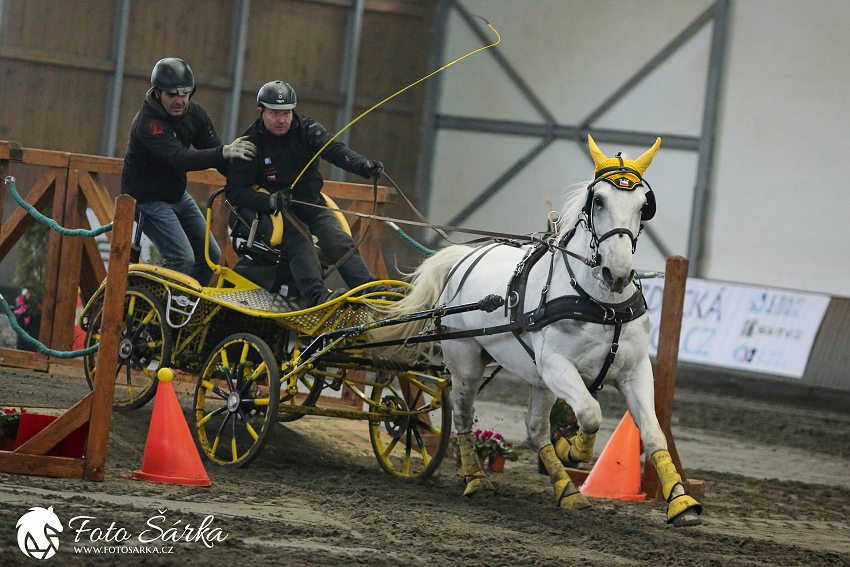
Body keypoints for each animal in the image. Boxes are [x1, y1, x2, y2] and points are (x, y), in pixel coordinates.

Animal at [374, 136, 700, 528]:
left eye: (643, 206)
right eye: (599, 200)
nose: (617, 274)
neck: (601, 304)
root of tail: (464, 257)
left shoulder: (635, 371)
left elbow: (652, 432)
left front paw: (681, 502)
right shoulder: (556, 365)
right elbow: (590, 413)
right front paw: (573, 450)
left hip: (538, 380)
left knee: (535, 428)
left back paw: (567, 491)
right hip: (466, 360)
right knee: (463, 414)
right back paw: (476, 479)